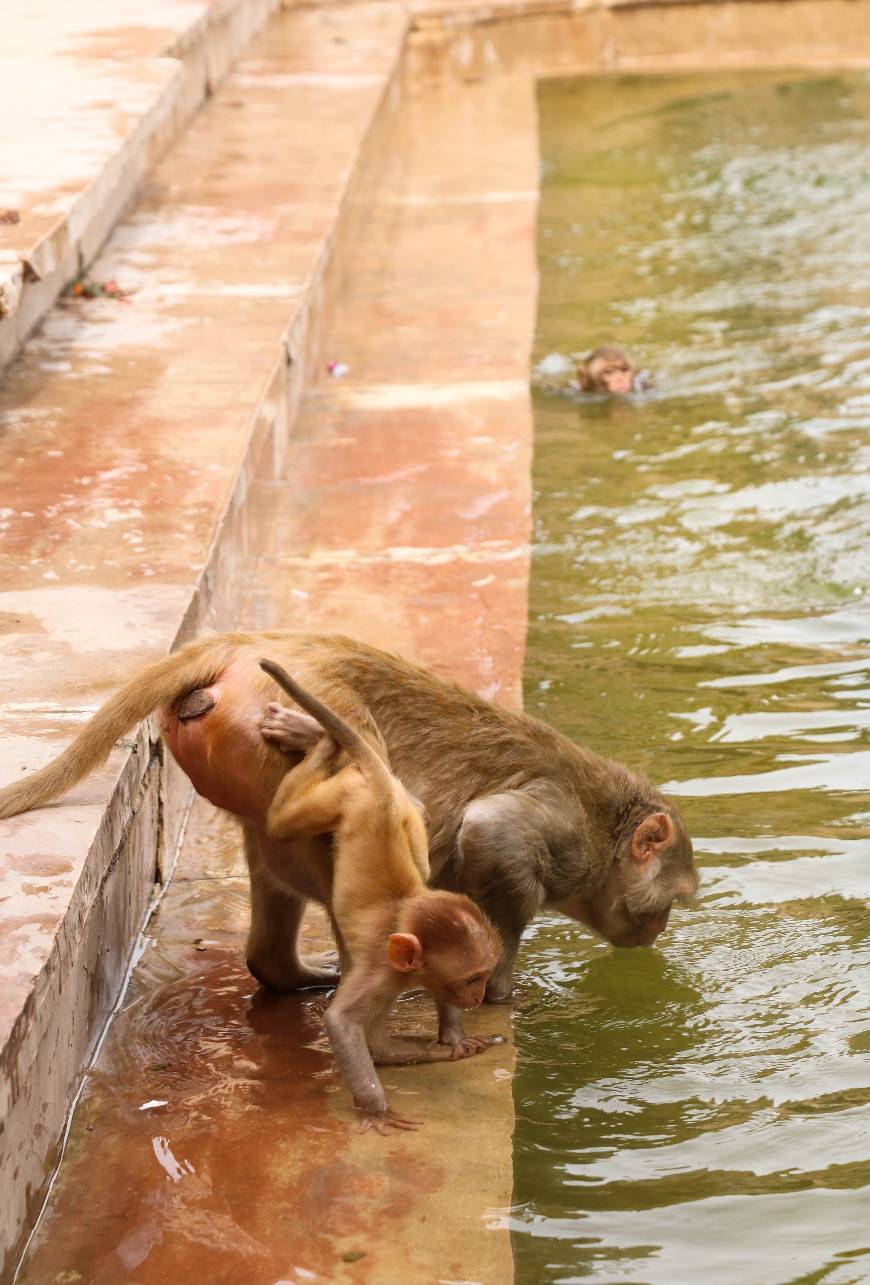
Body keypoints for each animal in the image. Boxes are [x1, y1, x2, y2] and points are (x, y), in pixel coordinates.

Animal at [0, 627, 693, 997]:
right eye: (675, 897)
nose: (659, 929)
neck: (606, 830)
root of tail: (244, 647)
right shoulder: (565, 833)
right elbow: (492, 831)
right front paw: (501, 987)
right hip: (277, 729)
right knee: (378, 814)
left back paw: (285, 973)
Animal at [258, 663, 498, 1135]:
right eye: (472, 980)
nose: (479, 998)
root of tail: (381, 789)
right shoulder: (379, 972)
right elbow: (340, 1022)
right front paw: (376, 1109)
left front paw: (453, 1040)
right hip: (335, 799)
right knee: (280, 822)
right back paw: (322, 740)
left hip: (405, 809)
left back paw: (320, 735)